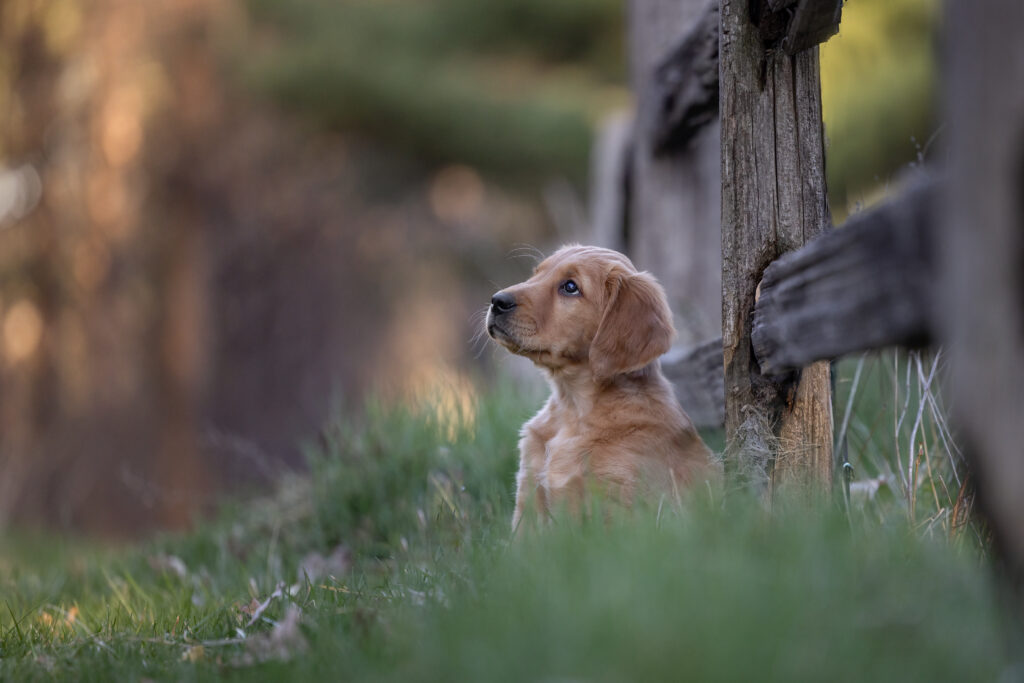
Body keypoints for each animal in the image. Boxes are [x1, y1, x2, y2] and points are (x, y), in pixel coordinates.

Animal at [489, 245, 720, 528]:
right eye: (537, 273)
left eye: (570, 287)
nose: (497, 301)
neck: (573, 407)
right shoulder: (529, 499)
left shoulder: (621, 506)